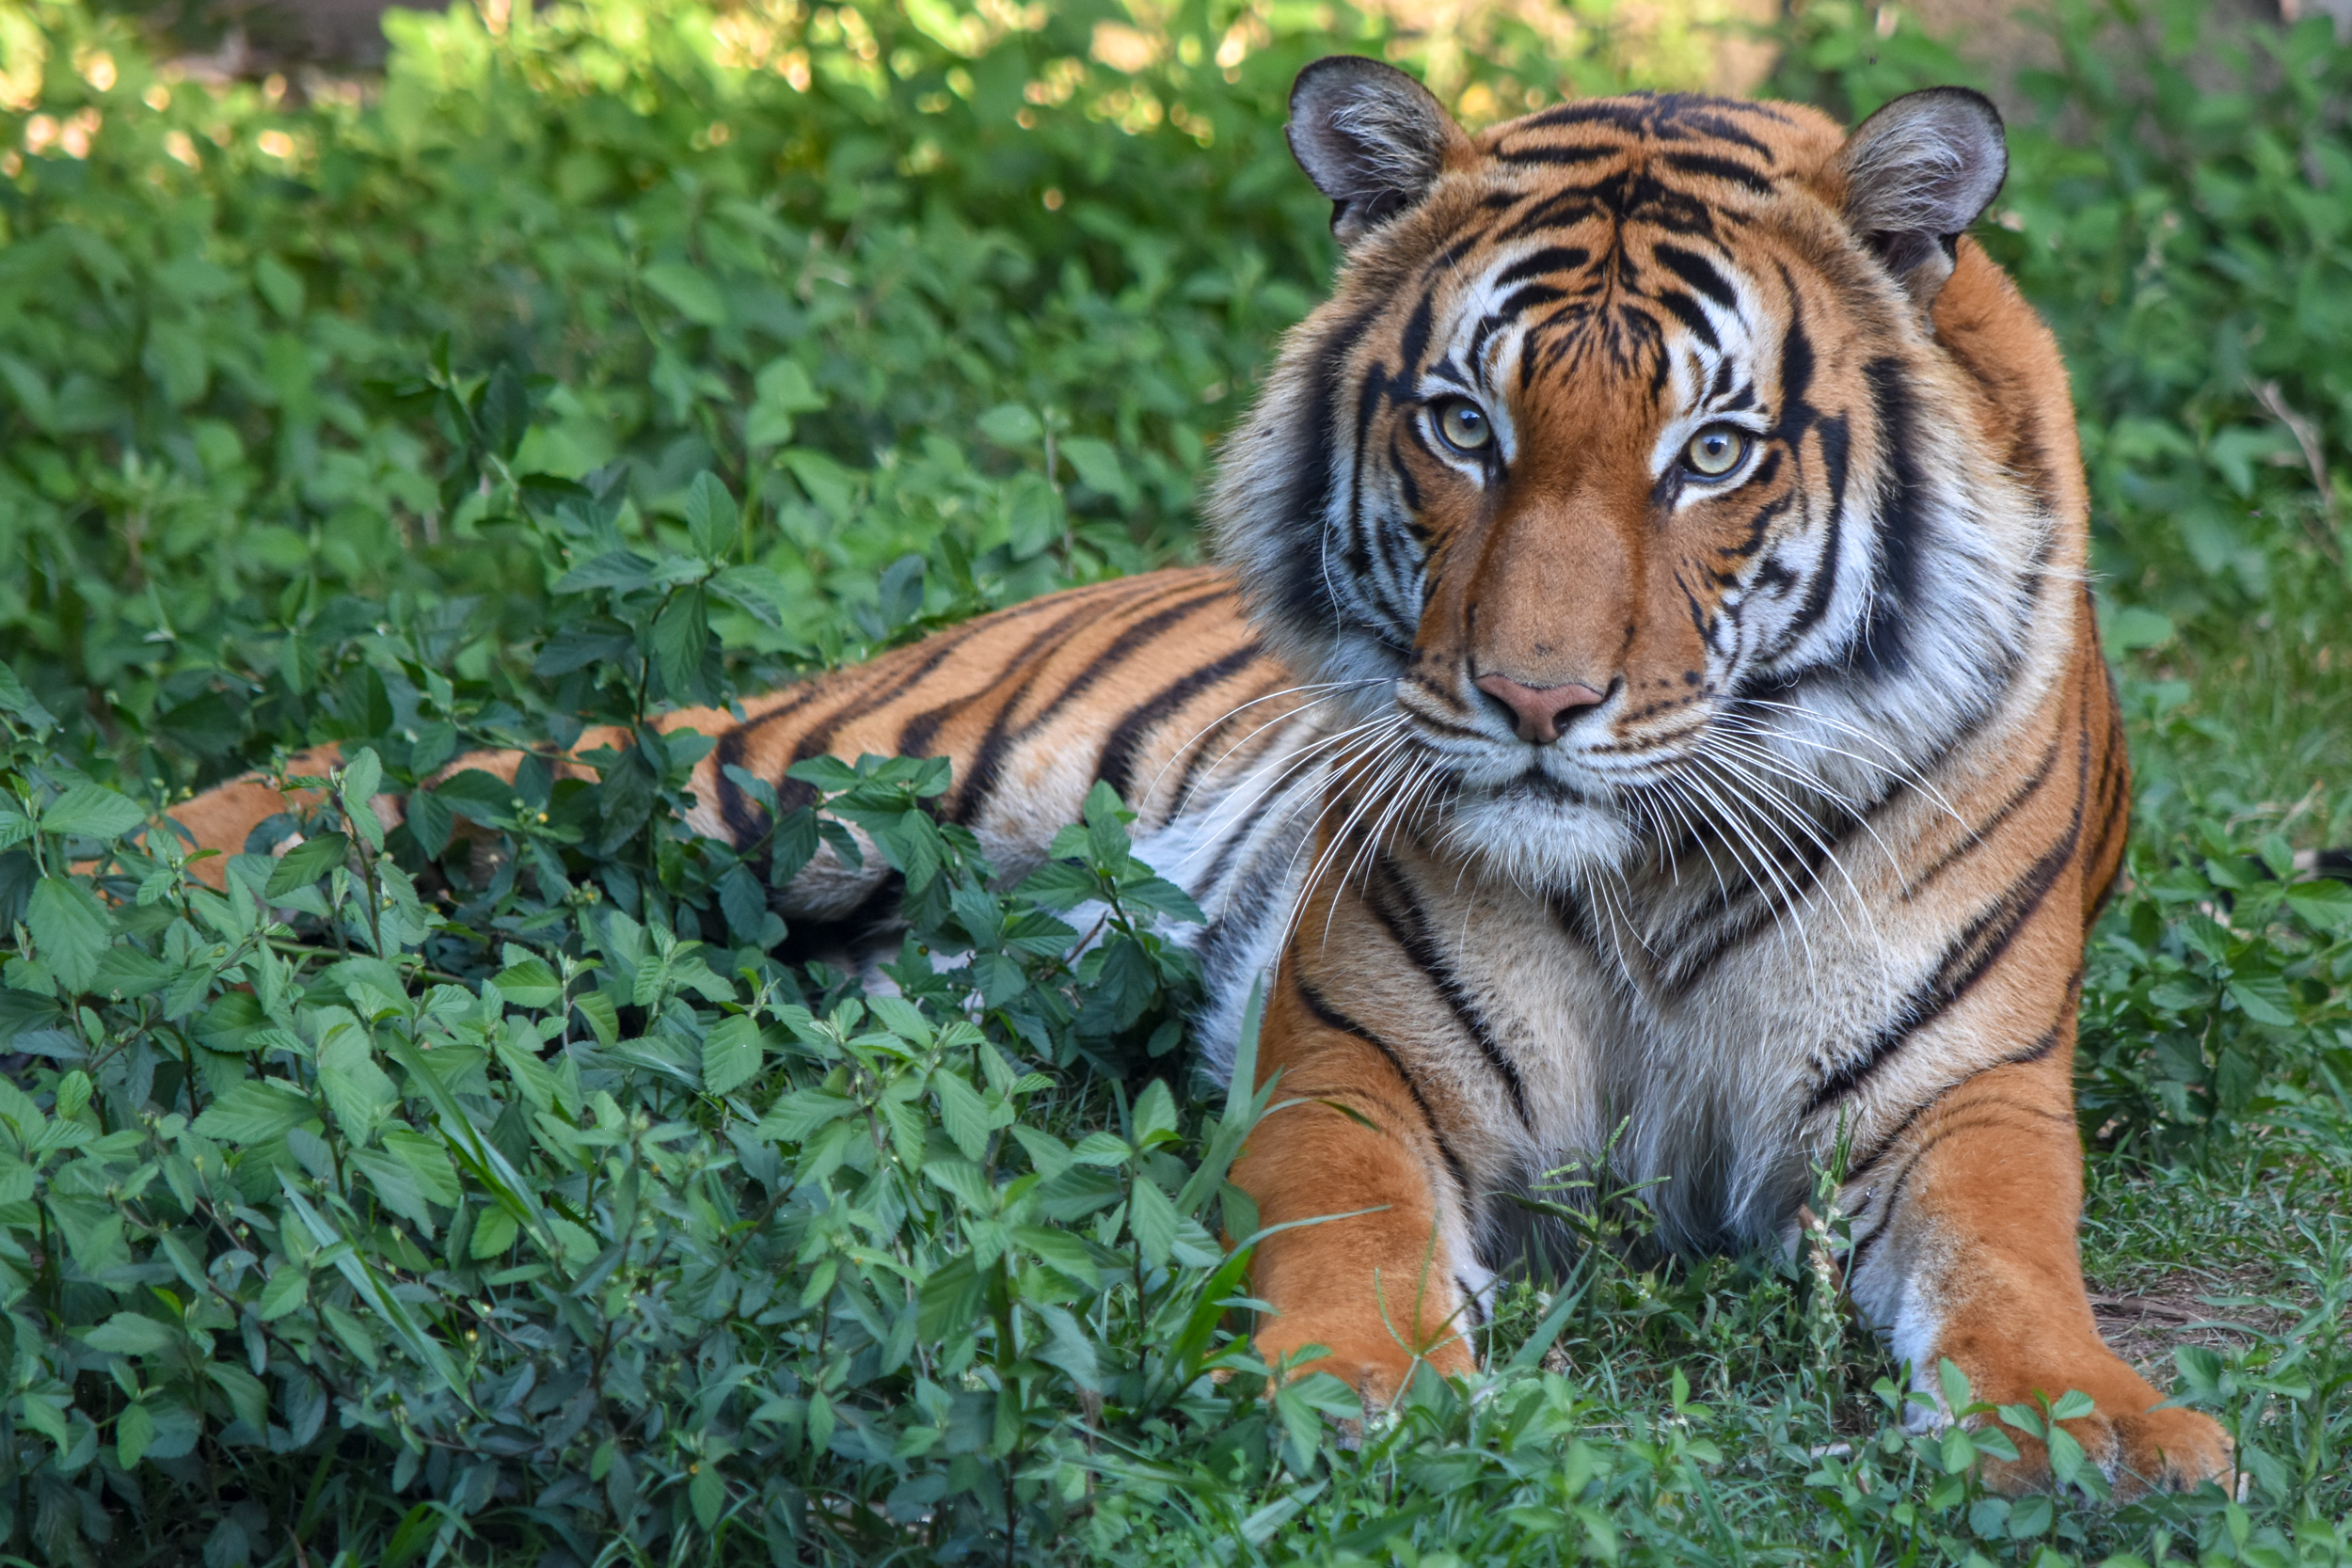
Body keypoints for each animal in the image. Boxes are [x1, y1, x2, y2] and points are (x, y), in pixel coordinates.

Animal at [174, 61, 2230, 1504]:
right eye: (1463, 423)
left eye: (1711, 451)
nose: (1533, 700)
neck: (1649, 861)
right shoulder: (1359, 1048)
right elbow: (1348, 1225)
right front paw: (1363, 1390)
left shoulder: (1965, 1095)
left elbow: (2013, 1264)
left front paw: (2103, 1434)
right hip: (784, 781)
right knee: (415, 780)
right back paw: (160, 867)